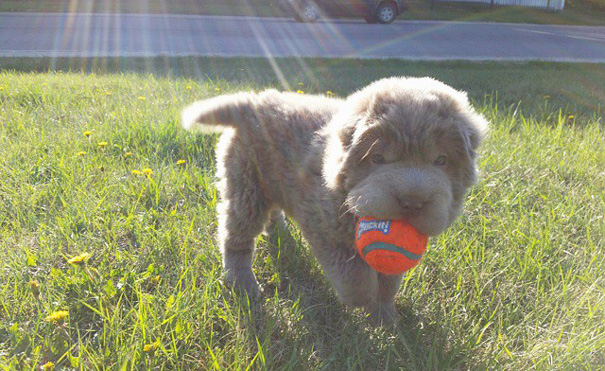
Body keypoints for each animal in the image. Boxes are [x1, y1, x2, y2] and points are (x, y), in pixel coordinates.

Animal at [182, 77, 488, 324]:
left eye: (441, 161)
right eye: (378, 158)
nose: (412, 201)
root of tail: (252, 102)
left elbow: (389, 280)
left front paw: (385, 319)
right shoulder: (323, 226)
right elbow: (355, 277)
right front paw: (363, 301)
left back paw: (278, 231)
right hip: (246, 187)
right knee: (237, 237)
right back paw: (243, 284)